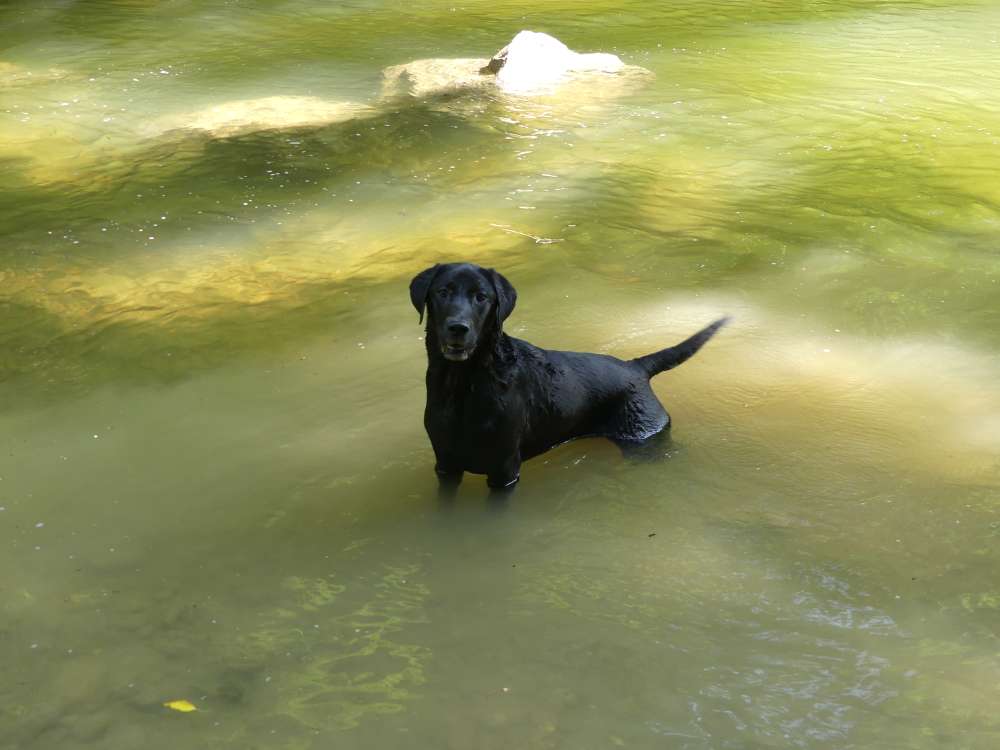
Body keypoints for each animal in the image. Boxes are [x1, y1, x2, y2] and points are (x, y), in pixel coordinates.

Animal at [408, 264, 728, 494]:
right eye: (443, 292)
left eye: (481, 297)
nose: (457, 328)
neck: (463, 384)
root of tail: (635, 367)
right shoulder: (445, 464)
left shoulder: (504, 468)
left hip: (643, 437)